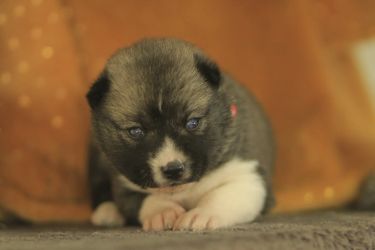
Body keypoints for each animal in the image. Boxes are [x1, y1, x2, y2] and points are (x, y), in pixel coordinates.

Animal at [88, 38, 276, 231]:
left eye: (192, 122)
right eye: (136, 131)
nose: (173, 169)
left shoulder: (247, 174)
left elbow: (223, 196)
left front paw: (202, 215)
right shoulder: (123, 182)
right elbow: (145, 198)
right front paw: (163, 212)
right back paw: (107, 212)